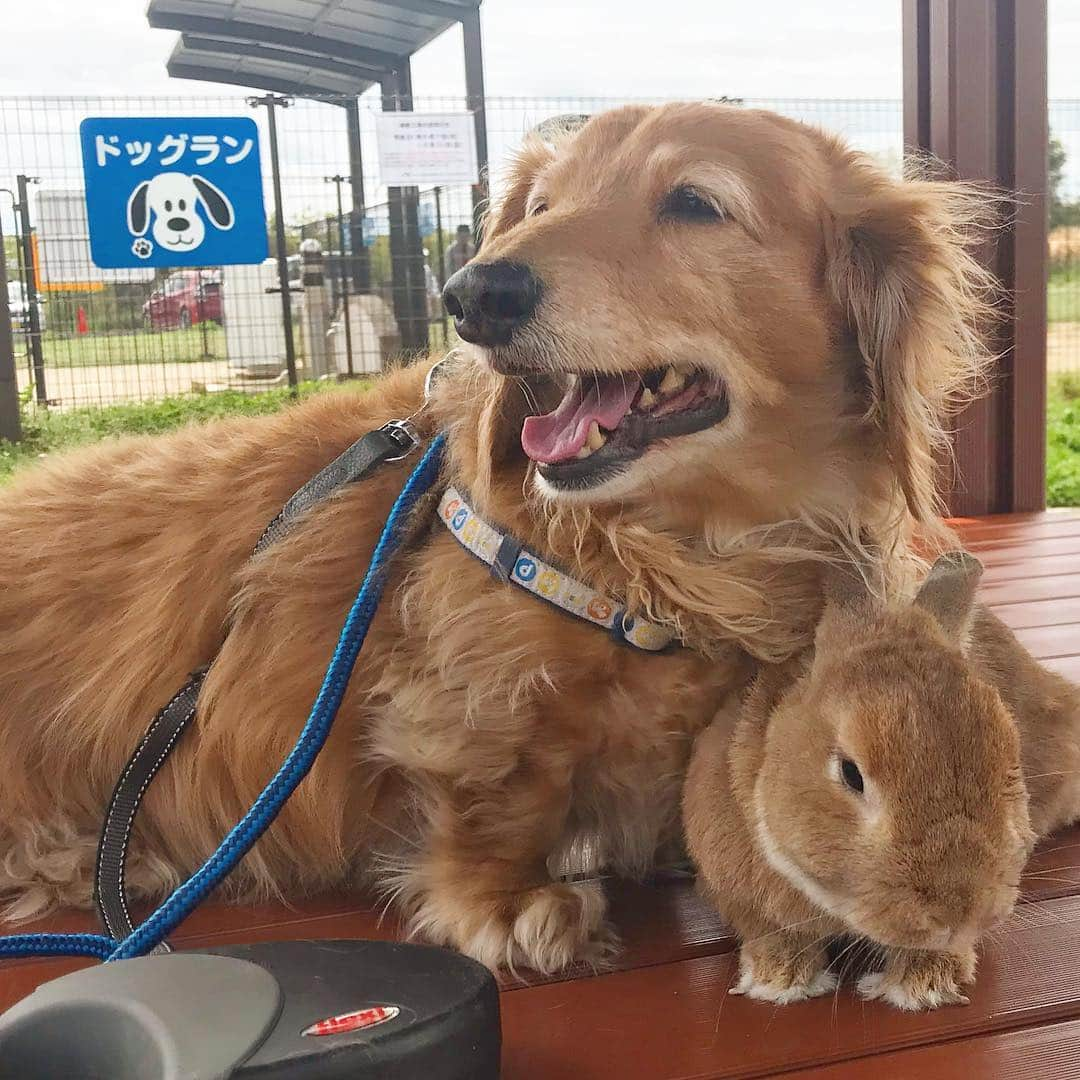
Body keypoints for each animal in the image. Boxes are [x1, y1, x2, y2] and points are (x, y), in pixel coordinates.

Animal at [682, 552, 1080, 1006]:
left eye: (1009, 753)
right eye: (851, 774)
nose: (958, 914)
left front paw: (923, 983)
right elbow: (765, 927)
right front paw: (779, 978)